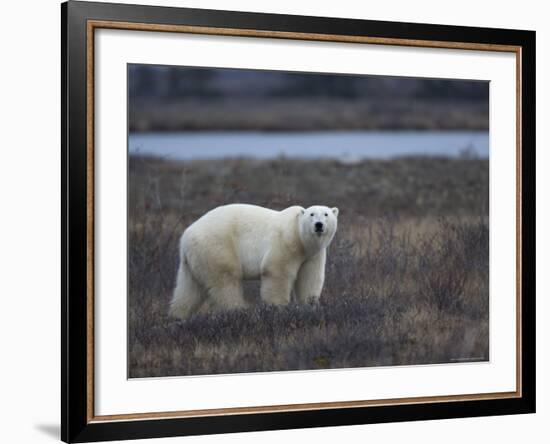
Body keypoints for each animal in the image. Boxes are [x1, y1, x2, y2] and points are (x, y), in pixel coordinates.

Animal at [170, 205, 338, 320]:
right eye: (311, 214)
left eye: (326, 214)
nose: (318, 225)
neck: (300, 238)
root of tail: (185, 237)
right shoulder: (285, 242)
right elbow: (276, 272)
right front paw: (278, 308)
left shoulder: (313, 255)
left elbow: (309, 278)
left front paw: (310, 307)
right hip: (216, 247)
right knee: (226, 282)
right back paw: (238, 311)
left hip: (193, 260)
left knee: (188, 290)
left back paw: (177, 316)